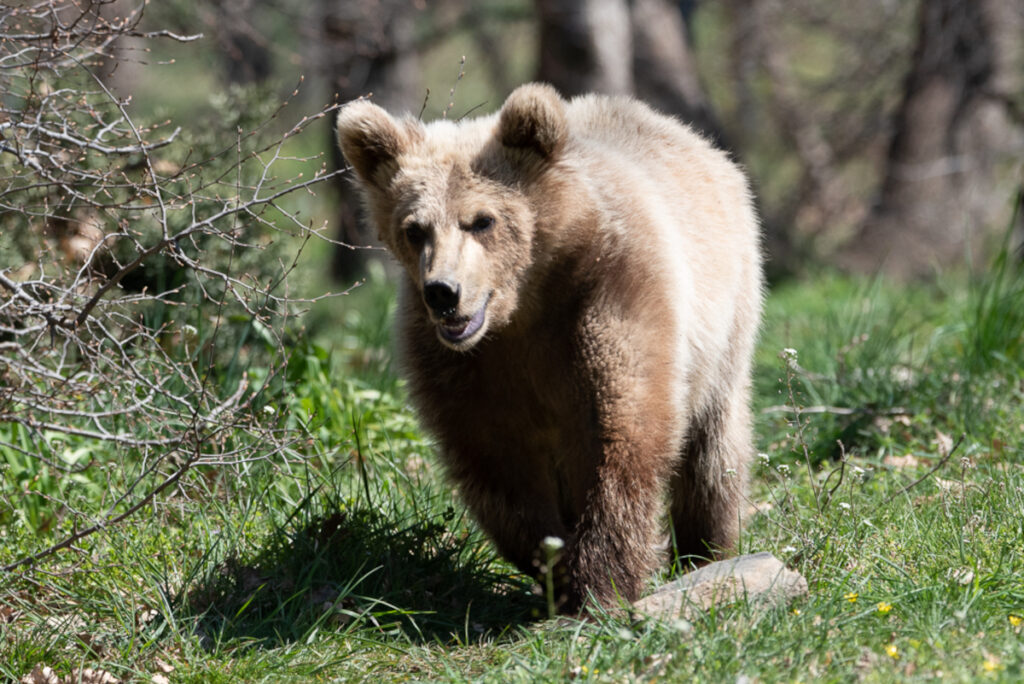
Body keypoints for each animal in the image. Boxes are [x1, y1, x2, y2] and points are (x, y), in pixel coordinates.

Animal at [333, 82, 761, 610]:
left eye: (482, 220)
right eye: (414, 229)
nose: (444, 292)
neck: (524, 306)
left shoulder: (609, 295)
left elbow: (622, 429)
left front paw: (601, 582)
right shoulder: (466, 366)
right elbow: (496, 463)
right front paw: (553, 563)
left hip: (726, 314)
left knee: (713, 451)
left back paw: (707, 548)